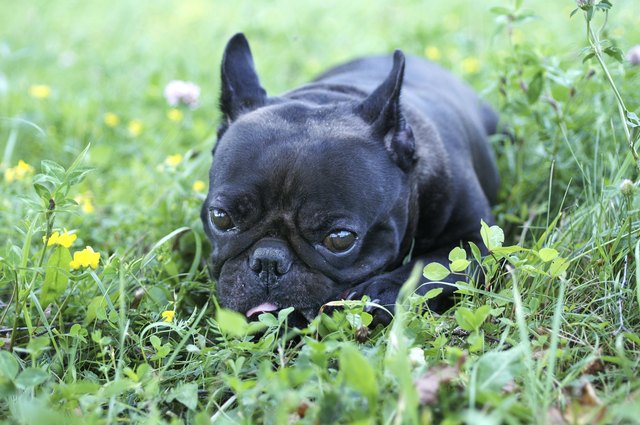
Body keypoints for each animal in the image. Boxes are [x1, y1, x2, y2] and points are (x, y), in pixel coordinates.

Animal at [202, 34, 498, 324]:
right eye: (220, 218)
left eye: (340, 238)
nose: (268, 261)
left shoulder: (478, 241)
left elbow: (433, 266)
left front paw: (382, 289)